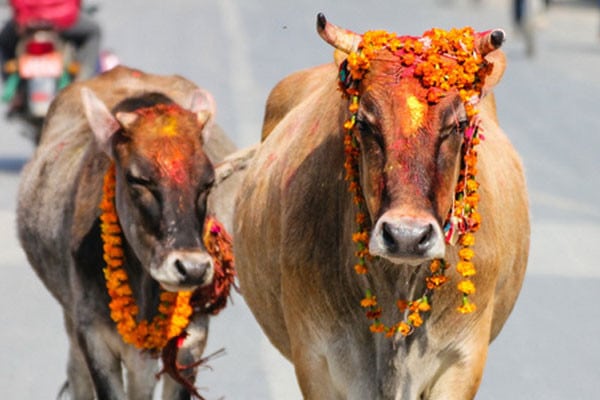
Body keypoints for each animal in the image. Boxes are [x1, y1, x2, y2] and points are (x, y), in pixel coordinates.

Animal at [16, 66, 237, 400]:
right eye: (138, 179)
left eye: (208, 181)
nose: (192, 268)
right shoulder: (93, 337)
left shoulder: (192, 340)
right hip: (72, 319)